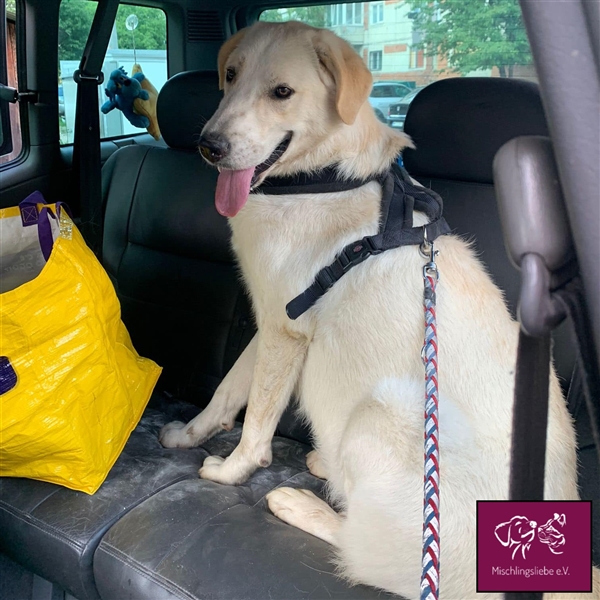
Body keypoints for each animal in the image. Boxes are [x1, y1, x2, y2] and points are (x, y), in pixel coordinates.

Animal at [159, 21, 598, 599]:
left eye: (282, 92)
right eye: (230, 76)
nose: (208, 147)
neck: (322, 175)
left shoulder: (285, 331)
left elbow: (256, 424)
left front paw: (231, 473)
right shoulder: (273, 319)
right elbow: (227, 392)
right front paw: (188, 436)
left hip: (383, 411)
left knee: (372, 552)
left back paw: (299, 502)